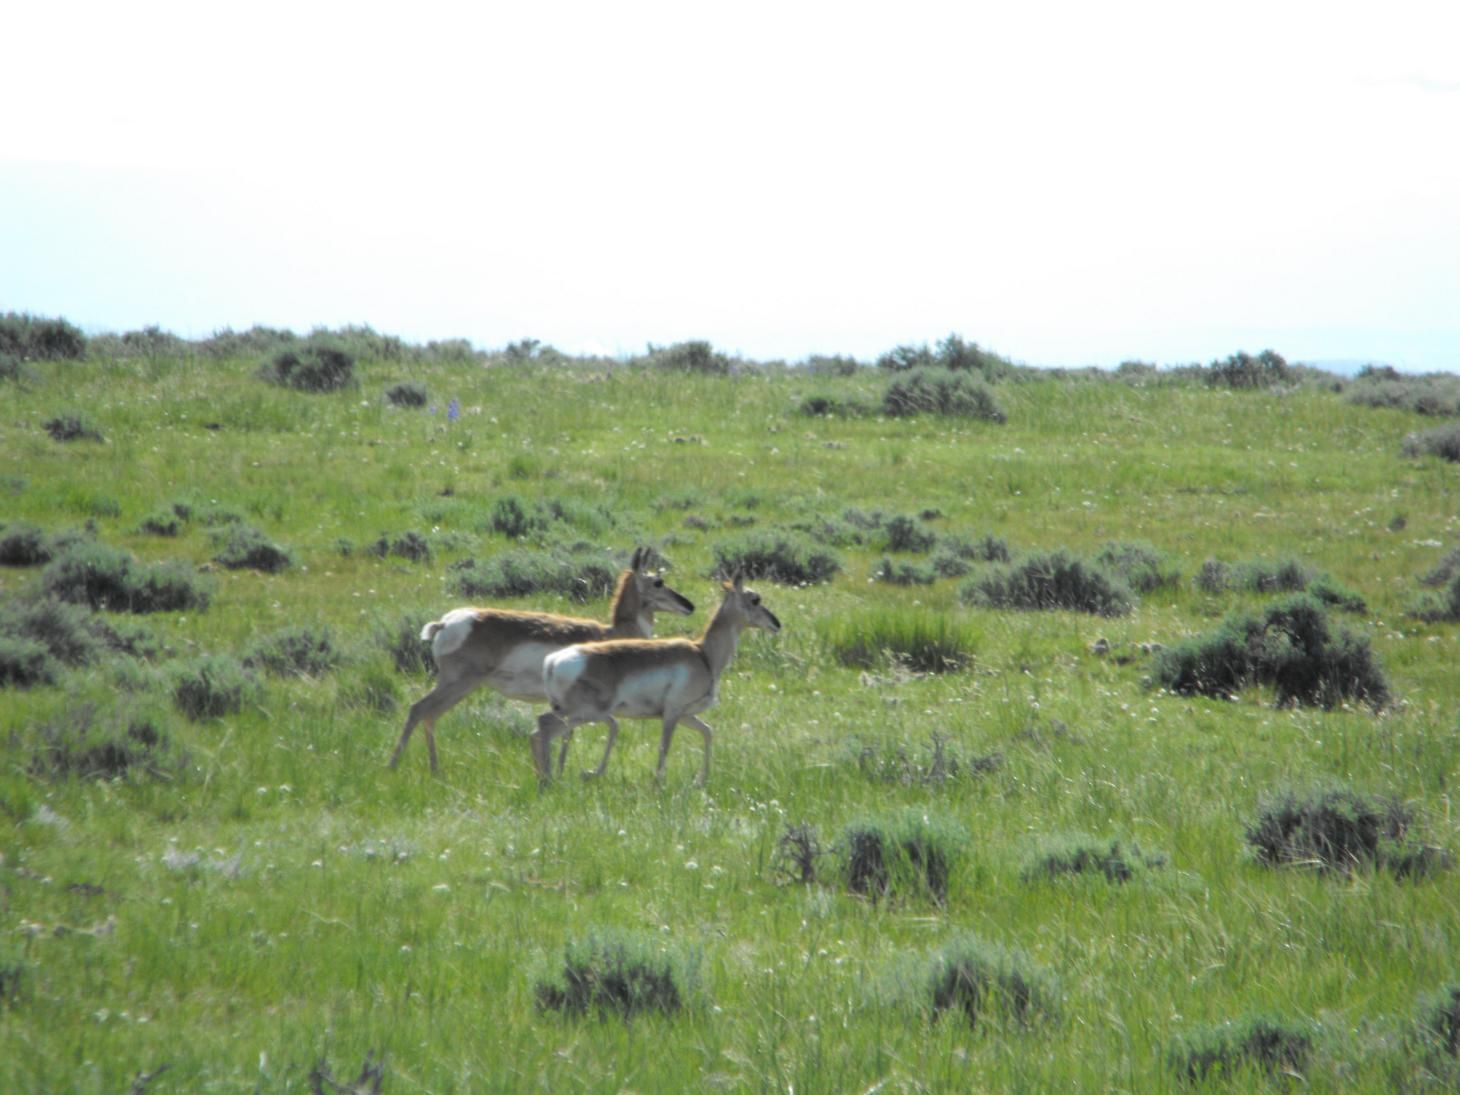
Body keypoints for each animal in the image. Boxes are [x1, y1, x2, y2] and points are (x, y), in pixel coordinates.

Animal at [389, 547, 694, 774]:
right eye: (658, 582)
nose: (689, 605)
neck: (610, 632)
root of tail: (446, 622)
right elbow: (568, 734)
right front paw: (558, 770)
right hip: (458, 683)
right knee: (419, 709)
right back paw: (395, 765)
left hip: (458, 686)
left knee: (429, 715)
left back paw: (434, 770)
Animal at [531, 572, 781, 787]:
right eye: (755, 599)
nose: (777, 624)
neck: (704, 654)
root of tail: (553, 661)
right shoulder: (672, 713)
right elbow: (664, 747)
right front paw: (658, 784)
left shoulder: (686, 715)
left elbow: (708, 732)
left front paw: (700, 781)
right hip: (584, 712)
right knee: (544, 726)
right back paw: (550, 779)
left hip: (582, 714)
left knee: (543, 731)